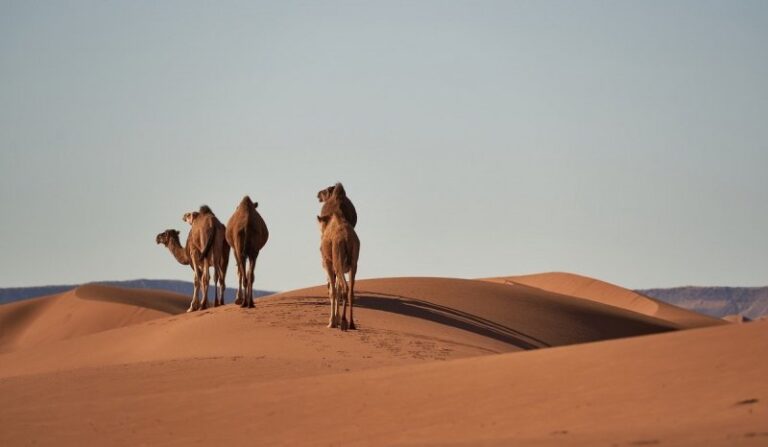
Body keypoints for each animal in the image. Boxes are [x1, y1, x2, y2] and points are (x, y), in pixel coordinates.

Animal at [316, 184, 360, 330]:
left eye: (325, 191)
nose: (318, 194)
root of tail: (346, 238)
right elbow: (336, 289)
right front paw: (335, 319)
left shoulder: (328, 262)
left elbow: (333, 291)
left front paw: (332, 322)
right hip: (354, 262)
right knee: (350, 290)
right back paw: (351, 324)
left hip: (337, 260)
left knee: (344, 288)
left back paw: (344, 322)